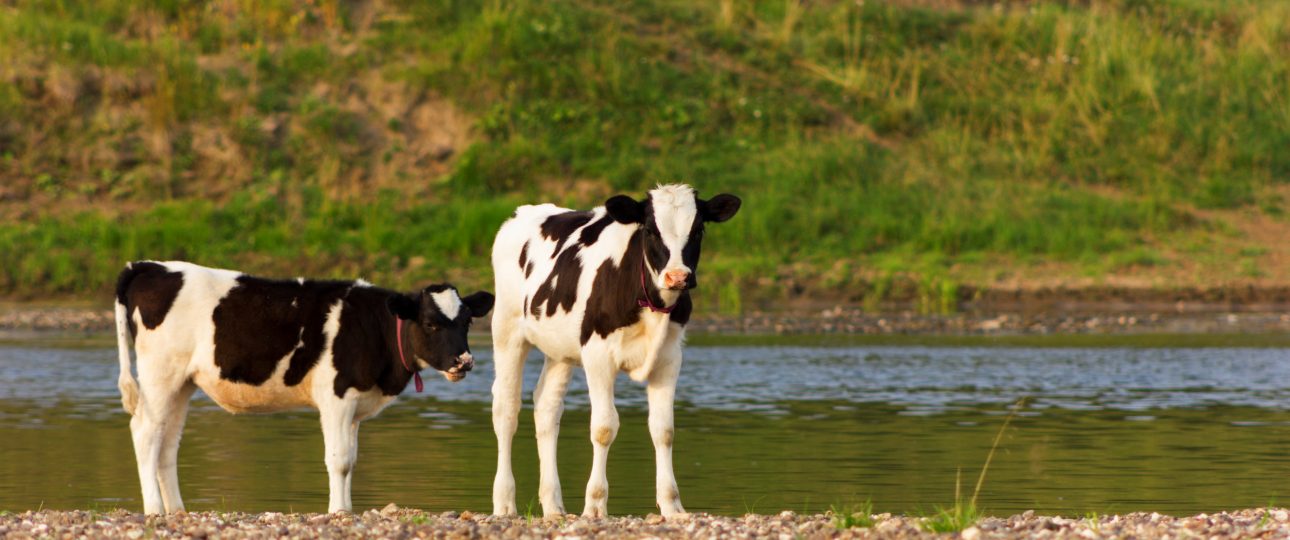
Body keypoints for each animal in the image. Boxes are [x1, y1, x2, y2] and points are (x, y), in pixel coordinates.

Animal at [113, 260, 494, 514]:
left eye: (468, 321)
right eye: (430, 324)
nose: (464, 361)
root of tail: (151, 266)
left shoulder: (355, 405)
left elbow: (351, 459)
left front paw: (347, 508)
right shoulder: (337, 397)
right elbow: (338, 459)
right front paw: (338, 512)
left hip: (181, 385)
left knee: (167, 444)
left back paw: (176, 510)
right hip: (159, 375)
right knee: (145, 433)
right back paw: (154, 509)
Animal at [489, 184, 741, 518]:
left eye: (698, 229)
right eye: (650, 230)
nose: (678, 276)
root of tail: (525, 211)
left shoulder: (670, 357)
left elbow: (664, 430)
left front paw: (672, 505)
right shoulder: (598, 355)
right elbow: (604, 427)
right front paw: (595, 504)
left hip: (560, 349)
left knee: (547, 408)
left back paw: (554, 506)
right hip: (507, 330)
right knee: (506, 409)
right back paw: (505, 503)